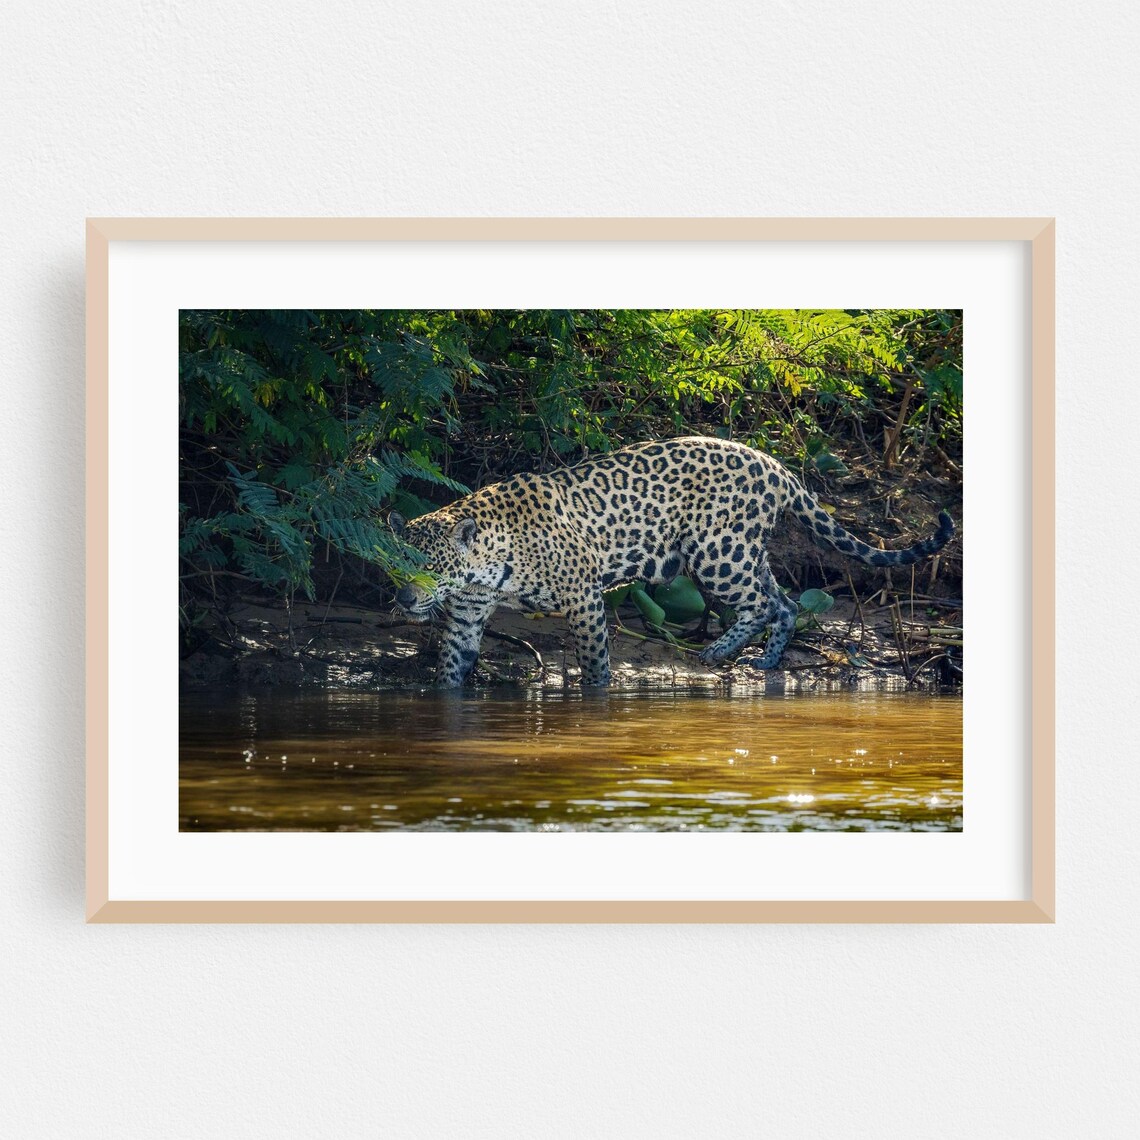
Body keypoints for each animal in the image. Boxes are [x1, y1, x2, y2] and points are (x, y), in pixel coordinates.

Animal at [389, 436, 954, 688]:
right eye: (395, 566)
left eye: (430, 569)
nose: (404, 598)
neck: (489, 564)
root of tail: (775, 465)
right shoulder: (466, 611)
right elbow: (452, 666)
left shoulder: (583, 596)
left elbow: (594, 663)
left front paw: (598, 698)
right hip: (742, 551)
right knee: (786, 602)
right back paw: (760, 660)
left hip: (717, 552)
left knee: (764, 604)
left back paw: (722, 653)